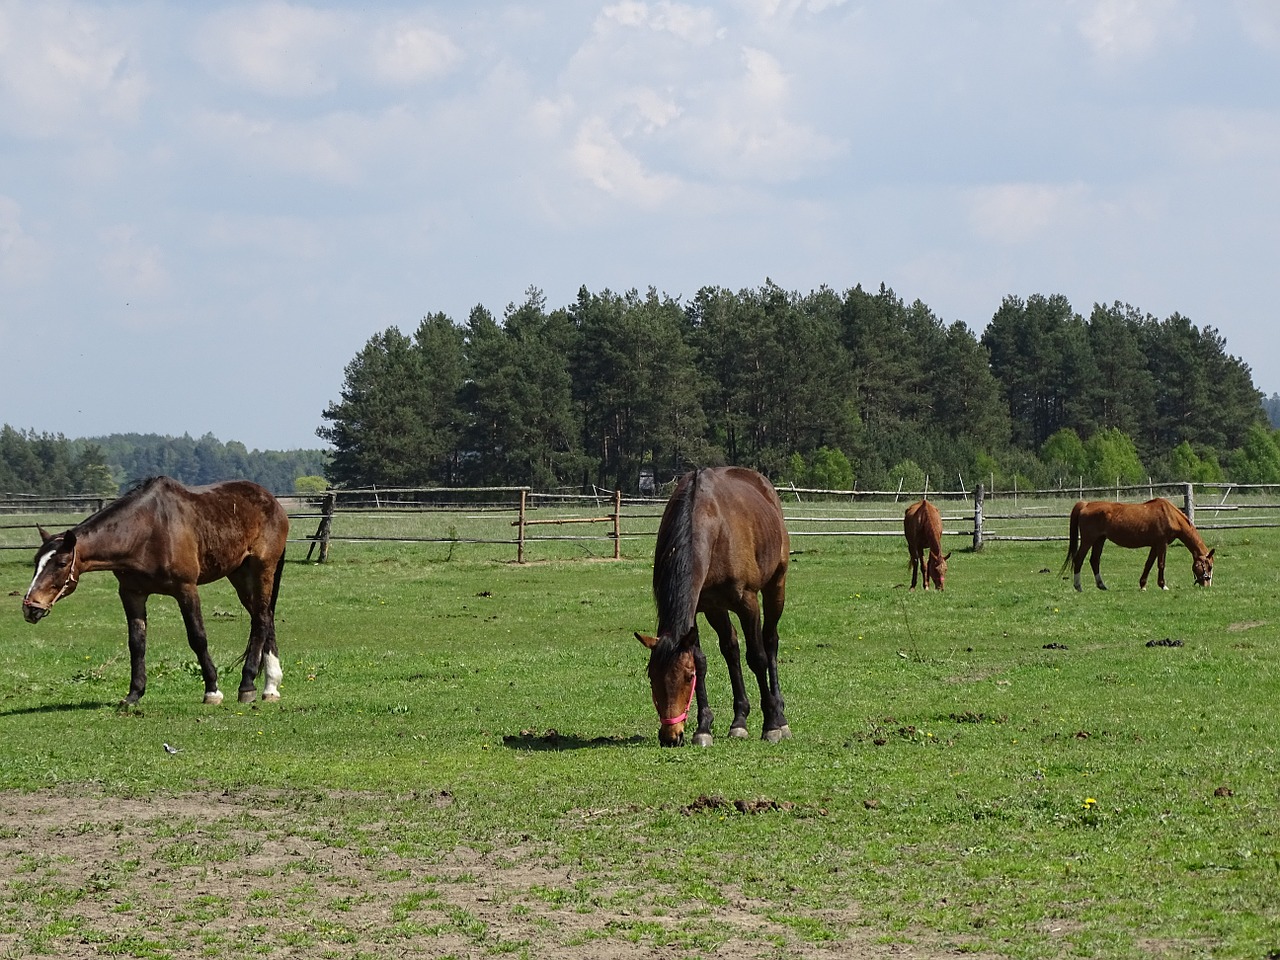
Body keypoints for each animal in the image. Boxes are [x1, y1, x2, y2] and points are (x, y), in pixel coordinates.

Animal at [23, 476, 288, 706]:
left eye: (60, 563)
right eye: (36, 560)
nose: (30, 607)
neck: (148, 530)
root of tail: (273, 503)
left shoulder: (186, 589)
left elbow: (198, 638)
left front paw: (212, 690)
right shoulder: (132, 593)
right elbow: (136, 643)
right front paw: (134, 693)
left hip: (262, 568)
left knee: (261, 619)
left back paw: (248, 685)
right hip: (239, 574)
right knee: (265, 617)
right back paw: (270, 687)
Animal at [632, 471, 788, 747]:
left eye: (687, 677)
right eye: (652, 676)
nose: (671, 737)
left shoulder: (748, 603)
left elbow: (757, 658)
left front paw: (770, 725)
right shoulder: (699, 609)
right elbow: (703, 660)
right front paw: (703, 727)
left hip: (775, 586)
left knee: (770, 642)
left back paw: (779, 716)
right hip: (718, 609)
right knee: (731, 648)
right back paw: (739, 721)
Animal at [1064, 499, 1213, 591]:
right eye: (1209, 566)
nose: (1207, 584)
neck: (1170, 515)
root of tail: (1086, 504)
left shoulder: (1155, 545)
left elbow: (1148, 564)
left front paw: (1143, 585)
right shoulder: (1162, 544)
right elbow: (1161, 564)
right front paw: (1163, 585)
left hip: (1100, 540)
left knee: (1094, 560)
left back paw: (1102, 585)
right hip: (1088, 540)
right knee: (1079, 559)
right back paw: (1078, 586)